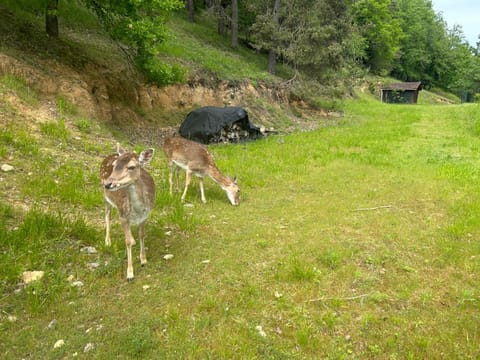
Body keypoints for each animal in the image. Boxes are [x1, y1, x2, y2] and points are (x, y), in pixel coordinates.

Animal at [99, 143, 156, 282]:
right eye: (114, 165)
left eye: (132, 167)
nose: (108, 184)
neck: (138, 210)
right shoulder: (123, 215)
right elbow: (127, 242)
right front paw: (130, 274)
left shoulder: (145, 215)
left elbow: (142, 235)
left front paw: (143, 260)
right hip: (106, 198)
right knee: (107, 215)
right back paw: (108, 241)